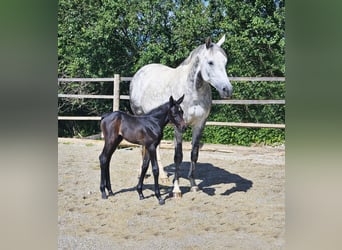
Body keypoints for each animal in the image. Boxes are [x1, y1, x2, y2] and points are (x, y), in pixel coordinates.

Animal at [130, 35, 234, 198]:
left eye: (225, 62)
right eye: (210, 62)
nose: (227, 90)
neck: (193, 91)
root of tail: (140, 72)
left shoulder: (200, 125)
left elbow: (194, 154)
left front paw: (193, 185)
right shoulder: (179, 127)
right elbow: (178, 156)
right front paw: (176, 190)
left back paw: (163, 176)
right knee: (144, 147)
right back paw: (143, 172)